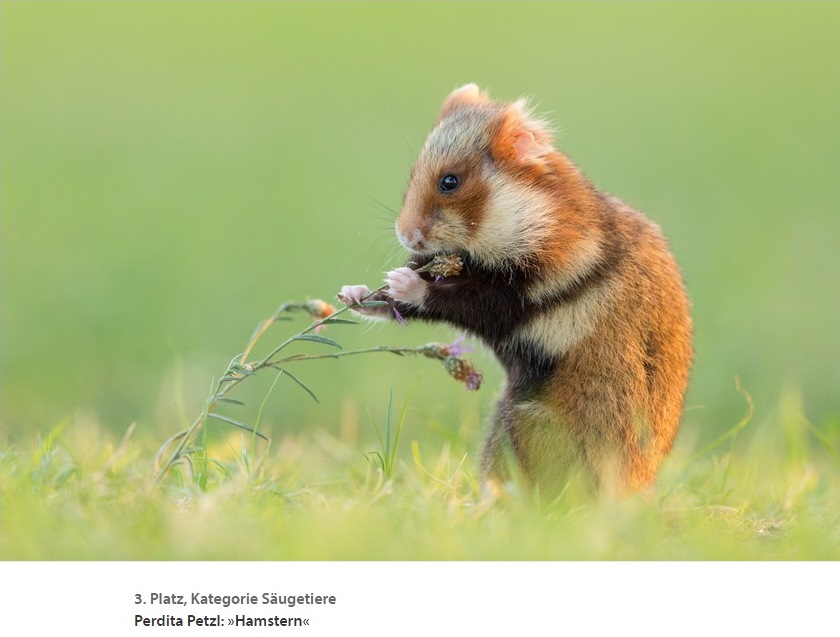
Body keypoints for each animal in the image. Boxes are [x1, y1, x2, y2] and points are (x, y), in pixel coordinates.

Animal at [340, 84, 692, 497]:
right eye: (413, 174)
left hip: (518, 423)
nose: (406, 235)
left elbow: (459, 299)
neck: (530, 217)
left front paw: (402, 282)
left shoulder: (525, 291)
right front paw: (350, 294)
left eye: (449, 181)